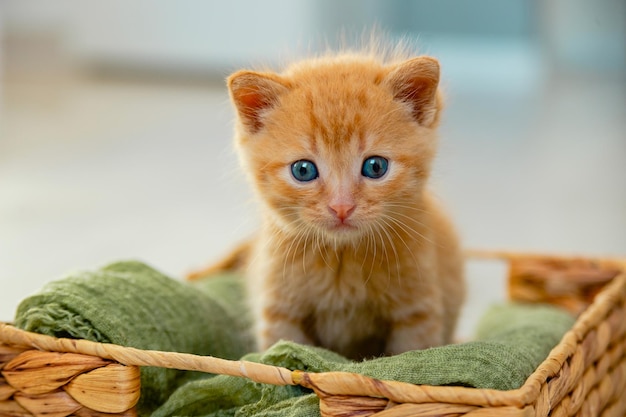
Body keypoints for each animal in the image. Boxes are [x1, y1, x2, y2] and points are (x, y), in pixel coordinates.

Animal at [195, 46, 464, 358]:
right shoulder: (279, 313)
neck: (342, 259)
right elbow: (282, 350)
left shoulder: (417, 314)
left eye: (375, 167)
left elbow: (409, 355)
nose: (341, 207)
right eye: (303, 170)